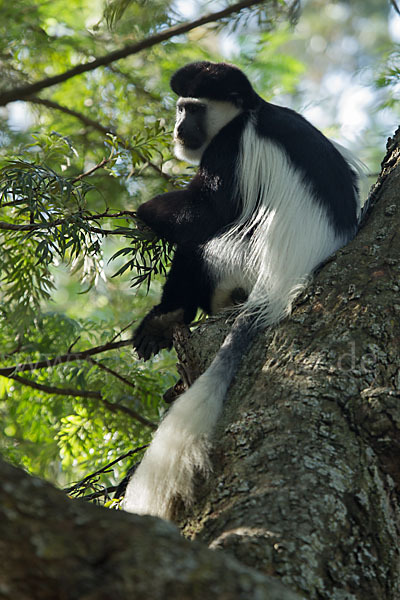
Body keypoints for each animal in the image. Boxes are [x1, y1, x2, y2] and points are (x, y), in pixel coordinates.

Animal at [122, 62, 362, 520]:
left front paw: (145, 210)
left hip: (238, 258)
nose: (179, 129)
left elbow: (208, 210)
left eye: (194, 109)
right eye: (181, 107)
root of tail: (285, 280)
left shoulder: (229, 149)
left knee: (198, 246)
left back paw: (167, 317)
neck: (249, 112)